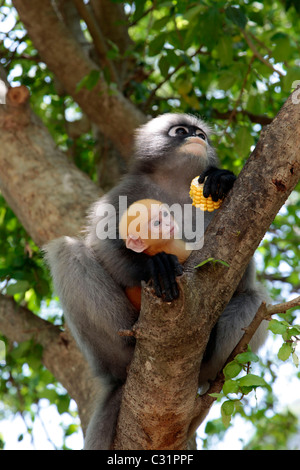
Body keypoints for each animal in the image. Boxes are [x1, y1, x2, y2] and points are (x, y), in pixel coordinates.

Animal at [45, 113, 268, 448]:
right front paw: (155, 266)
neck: (175, 185)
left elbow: (237, 270)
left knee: (254, 298)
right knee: (68, 250)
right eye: (181, 131)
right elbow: (103, 246)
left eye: (202, 134)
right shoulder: (124, 190)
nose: (197, 137)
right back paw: (130, 343)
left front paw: (222, 178)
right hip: (109, 351)